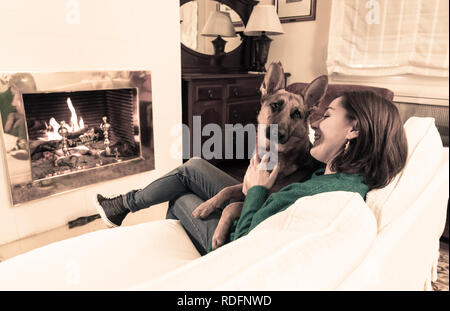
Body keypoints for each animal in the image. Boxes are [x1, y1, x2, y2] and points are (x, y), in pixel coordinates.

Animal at [191, 62, 326, 251]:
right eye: (275, 105)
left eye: (297, 114)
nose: (279, 133)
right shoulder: (244, 186)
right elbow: (225, 190)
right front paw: (205, 206)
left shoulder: (261, 200)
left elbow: (232, 206)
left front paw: (218, 234)